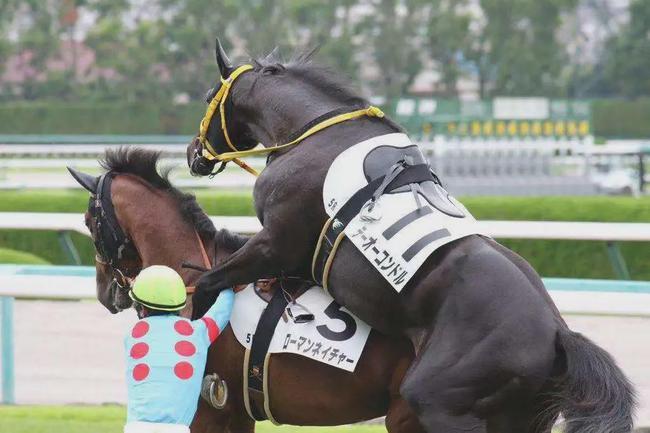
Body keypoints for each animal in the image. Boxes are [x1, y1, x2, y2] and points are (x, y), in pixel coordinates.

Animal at [185, 40, 636, 433]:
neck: (313, 132)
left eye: (208, 95)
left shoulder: (276, 242)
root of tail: (558, 334)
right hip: (520, 417)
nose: (193, 154)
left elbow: (206, 282)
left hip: (438, 399)